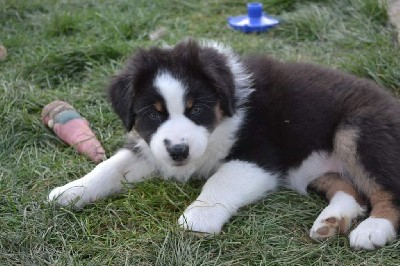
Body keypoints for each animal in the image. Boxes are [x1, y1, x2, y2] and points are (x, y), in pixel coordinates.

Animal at [49, 39, 400, 249]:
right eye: (153, 113)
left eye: (196, 109)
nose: (179, 151)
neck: (219, 123)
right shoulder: (151, 148)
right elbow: (111, 166)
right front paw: (71, 191)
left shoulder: (258, 155)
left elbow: (219, 182)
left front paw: (197, 220)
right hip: (314, 165)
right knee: (353, 192)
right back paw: (331, 221)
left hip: (356, 129)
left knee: (387, 191)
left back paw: (373, 229)